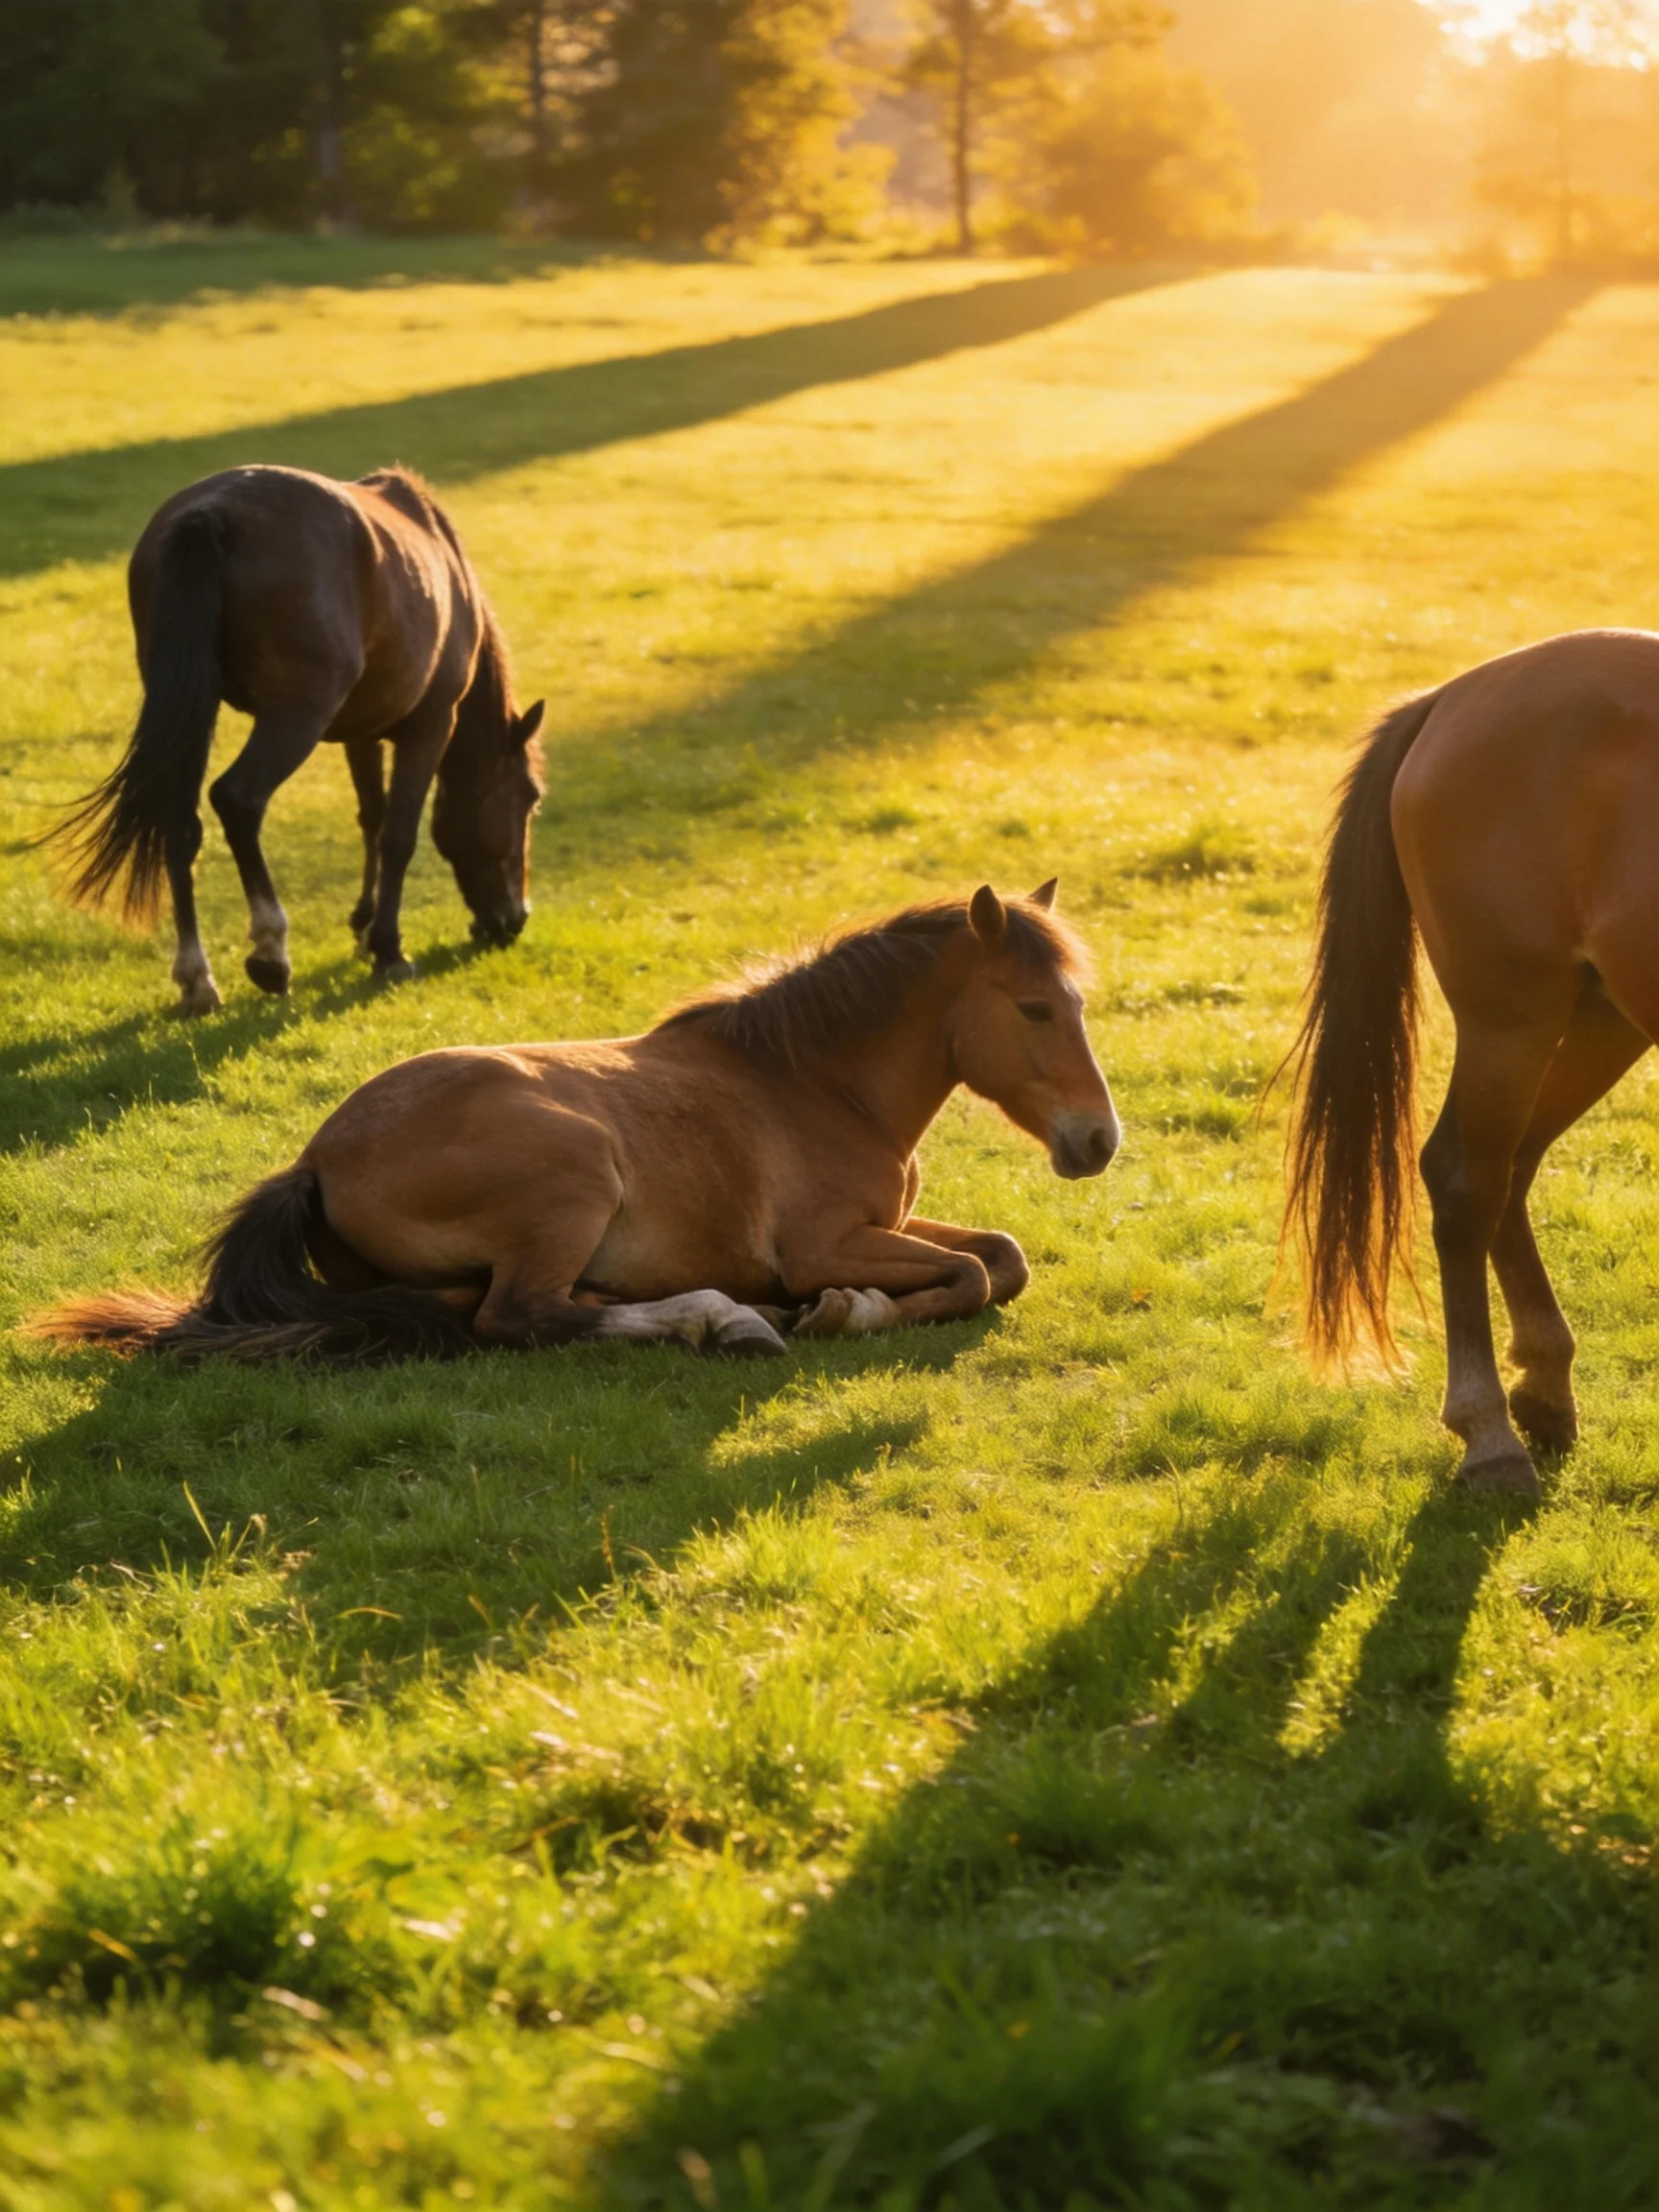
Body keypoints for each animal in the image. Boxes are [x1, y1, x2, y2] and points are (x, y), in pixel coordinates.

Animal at [33, 882, 1119, 1365]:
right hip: (576, 1174)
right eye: (1034, 1008)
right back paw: (723, 1318)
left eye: (1077, 999)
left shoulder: (884, 1224)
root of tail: (313, 1162)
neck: (812, 1081)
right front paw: (843, 1310)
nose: (1099, 1140)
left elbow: (1000, 1253)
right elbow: (972, 1272)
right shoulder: (822, 1243)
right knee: (520, 1318)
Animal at [49, 463, 546, 1014]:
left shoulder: (363, 731)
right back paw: (270, 952)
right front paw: (389, 950)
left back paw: (197, 980)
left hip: (193, 706)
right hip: (296, 716)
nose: (514, 919)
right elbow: (398, 834)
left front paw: (363, 925)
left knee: (179, 823)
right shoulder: (430, 725)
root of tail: (211, 513)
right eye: (531, 798)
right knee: (238, 800)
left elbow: (371, 819)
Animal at [1286, 629, 1659, 1498]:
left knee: (1510, 1168)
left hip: (1601, 1017)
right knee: (1466, 1179)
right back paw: (1490, 1437)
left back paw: (1545, 1388)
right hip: (1509, 1021)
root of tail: (1452, 696)